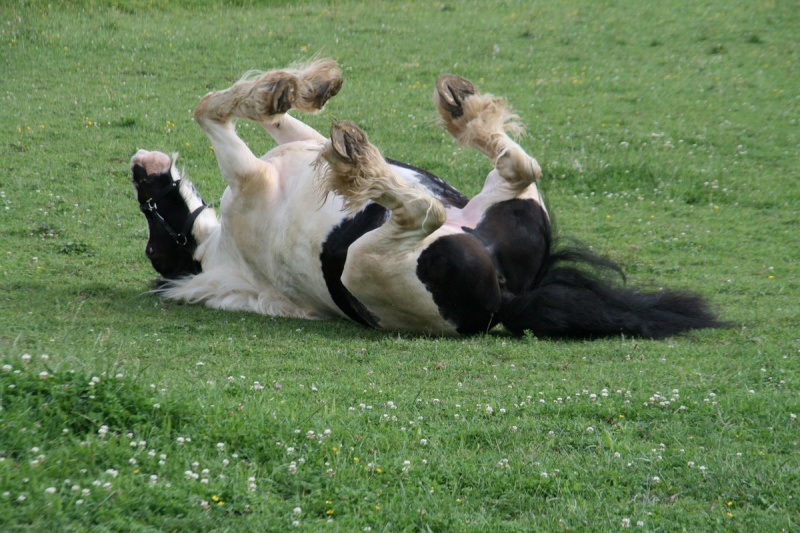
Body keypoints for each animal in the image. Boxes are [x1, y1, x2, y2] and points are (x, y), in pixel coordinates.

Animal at [131, 59, 724, 336]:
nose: (140, 167)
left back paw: (446, 114)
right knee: (428, 207)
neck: (223, 257)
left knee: (514, 167)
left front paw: (302, 87)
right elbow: (209, 108)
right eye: (155, 245)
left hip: (498, 201)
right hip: (369, 259)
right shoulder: (251, 177)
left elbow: (261, 114)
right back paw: (374, 155)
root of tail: (508, 295)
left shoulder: (291, 151)